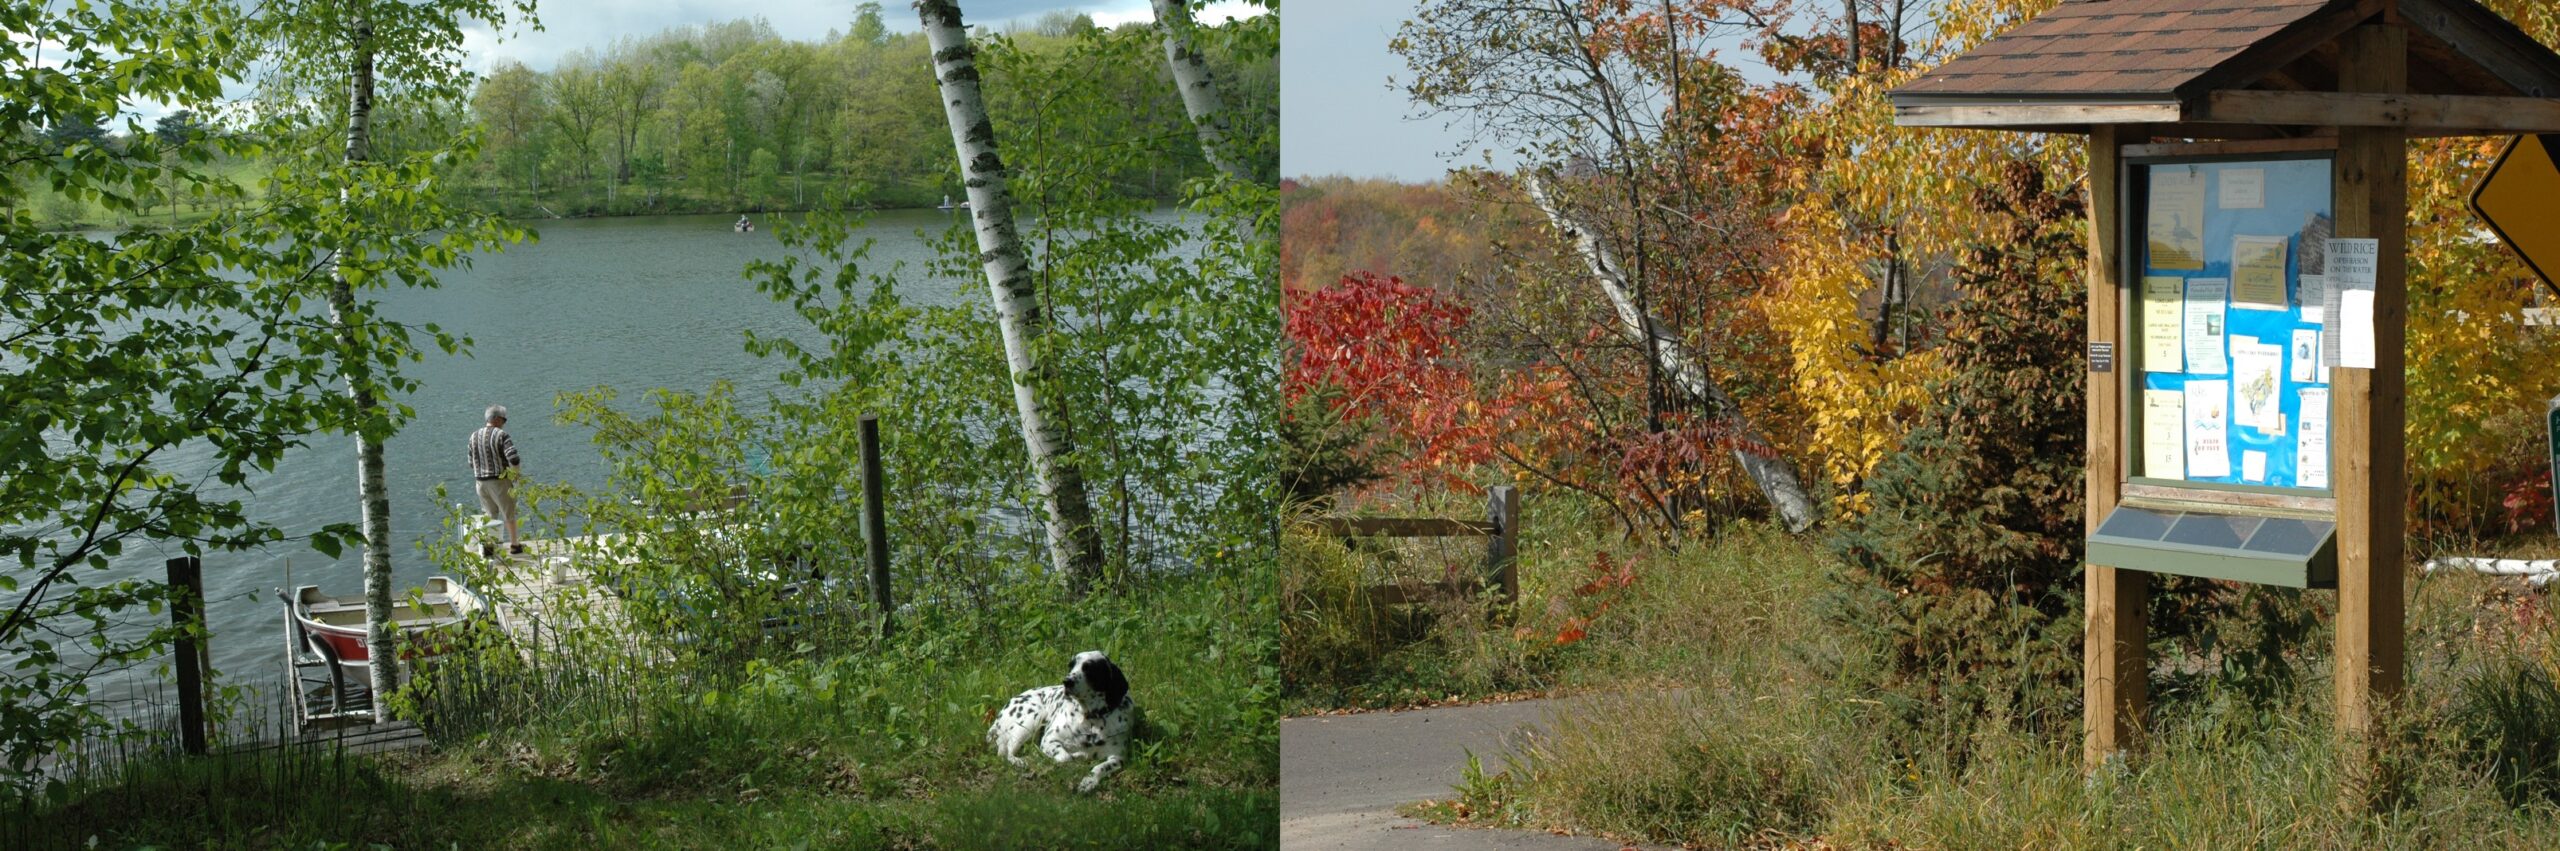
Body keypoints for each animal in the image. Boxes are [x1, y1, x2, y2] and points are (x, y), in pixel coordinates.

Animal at [988, 651, 1131, 789]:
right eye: (1071, 666)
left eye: (1089, 668)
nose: (1067, 681)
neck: (1091, 720)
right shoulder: (1049, 740)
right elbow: (1066, 757)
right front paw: (1075, 756)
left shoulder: (1117, 757)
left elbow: (1100, 767)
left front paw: (1089, 781)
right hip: (1033, 718)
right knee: (1007, 752)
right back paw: (1020, 761)